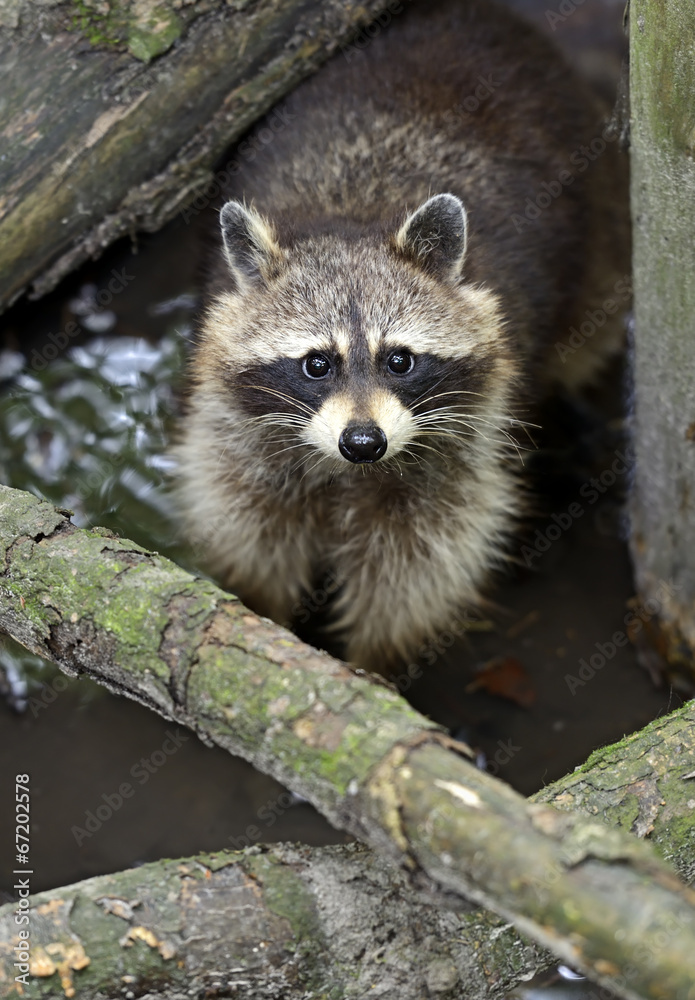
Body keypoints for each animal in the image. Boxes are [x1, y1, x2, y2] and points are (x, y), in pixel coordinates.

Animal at [174, 0, 629, 673]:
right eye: (316, 365)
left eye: (400, 361)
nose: (364, 443)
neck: (354, 223)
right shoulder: (240, 431)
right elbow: (249, 524)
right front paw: (262, 615)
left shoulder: (461, 445)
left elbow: (417, 564)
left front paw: (373, 665)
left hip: (602, 225)